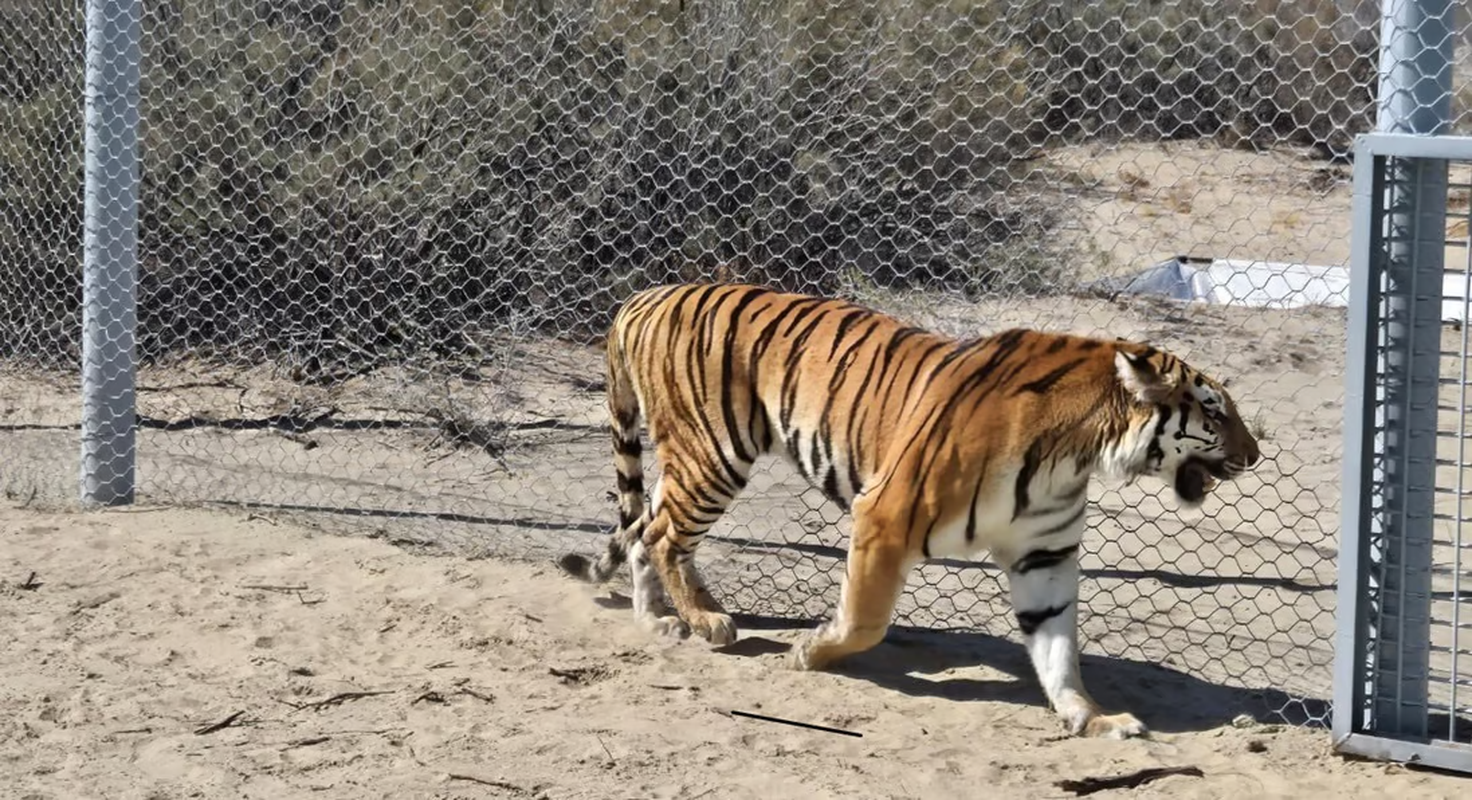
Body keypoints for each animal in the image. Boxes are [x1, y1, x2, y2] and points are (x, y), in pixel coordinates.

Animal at [556, 281, 1260, 739]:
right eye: (1216, 412)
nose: (1255, 455)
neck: (1082, 450)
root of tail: (643, 297)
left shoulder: (1046, 554)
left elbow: (1058, 645)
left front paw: (1089, 716)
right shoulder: (884, 514)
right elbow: (865, 619)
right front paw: (810, 652)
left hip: (695, 460)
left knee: (645, 526)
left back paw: (661, 620)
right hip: (713, 453)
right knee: (662, 534)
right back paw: (703, 620)